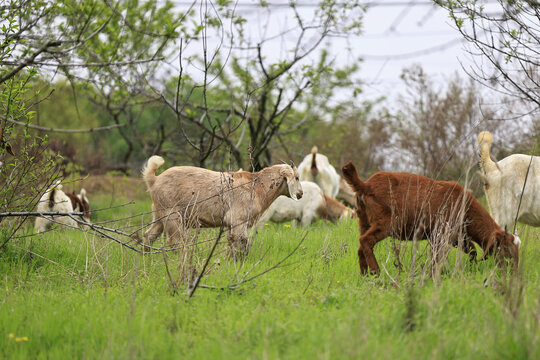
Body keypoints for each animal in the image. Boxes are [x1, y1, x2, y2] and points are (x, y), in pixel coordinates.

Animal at [142, 156, 304, 258]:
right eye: (296, 177)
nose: (301, 193)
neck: (258, 187)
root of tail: (154, 180)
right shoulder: (238, 220)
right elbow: (242, 242)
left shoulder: (230, 223)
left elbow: (232, 242)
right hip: (172, 214)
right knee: (175, 241)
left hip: (160, 214)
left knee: (149, 235)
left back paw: (147, 257)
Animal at [340, 162, 520, 274]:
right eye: (505, 249)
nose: (513, 272)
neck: (466, 207)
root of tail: (365, 185)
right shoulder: (440, 234)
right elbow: (436, 257)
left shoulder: (455, 236)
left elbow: (471, 250)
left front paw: (471, 268)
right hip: (386, 223)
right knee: (366, 241)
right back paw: (375, 271)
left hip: (363, 220)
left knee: (360, 246)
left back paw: (365, 275)